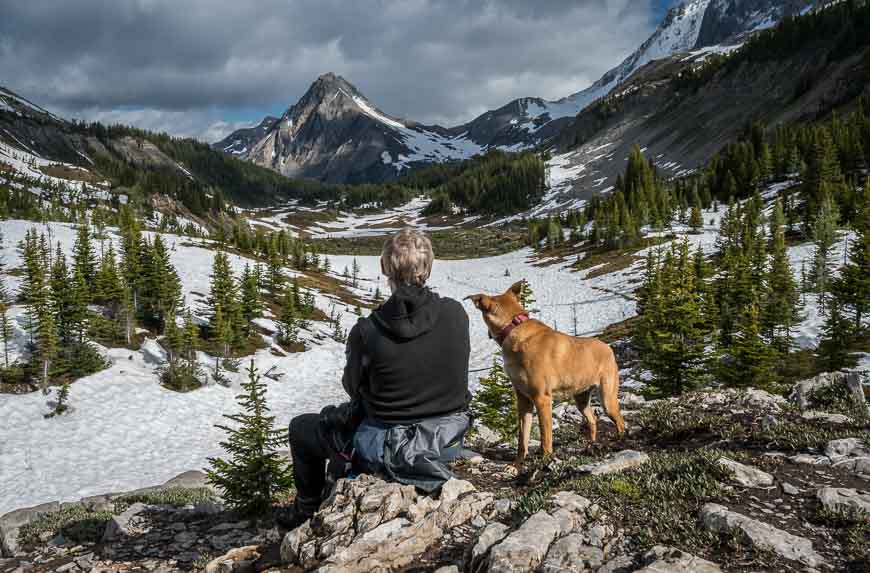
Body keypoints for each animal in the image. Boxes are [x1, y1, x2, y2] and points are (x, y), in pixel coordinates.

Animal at [470, 282, 628, 464]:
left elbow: (545, 437)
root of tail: (608, 347)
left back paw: (620, 441)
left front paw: (544, 460)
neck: (513, 328)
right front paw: (517, 465)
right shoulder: (523, 400)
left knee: (620, 421)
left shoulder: (542, 399)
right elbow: (522, 438)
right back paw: (591, 445)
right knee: (592, 420)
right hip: (581, 398)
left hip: (607, 398)